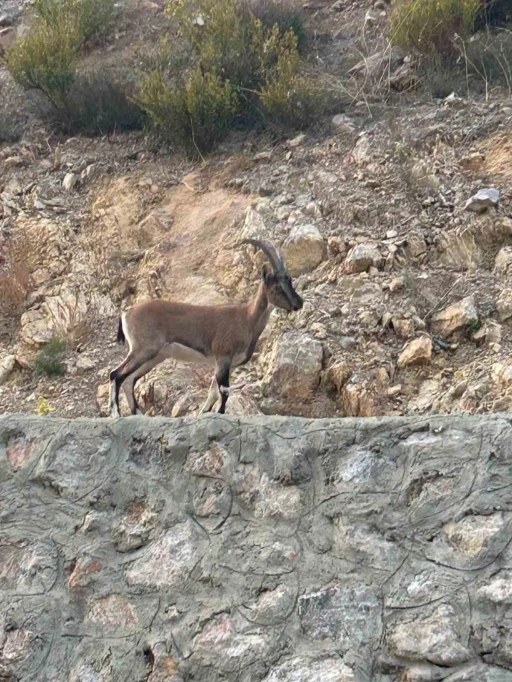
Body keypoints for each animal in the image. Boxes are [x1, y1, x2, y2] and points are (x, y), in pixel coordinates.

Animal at [107, 239, 300, 414]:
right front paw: (220, 413)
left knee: (128, 379)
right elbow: (223, 391)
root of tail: (126, 314)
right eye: (277, 286)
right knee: (116, 374)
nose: (299, 303)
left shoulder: (225, 364)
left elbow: (213, 392)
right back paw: (116, 413)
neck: (247, 318)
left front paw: (204, 413)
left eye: (290, 281)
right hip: (145, 349)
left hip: (155, 356)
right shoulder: (223, 357)